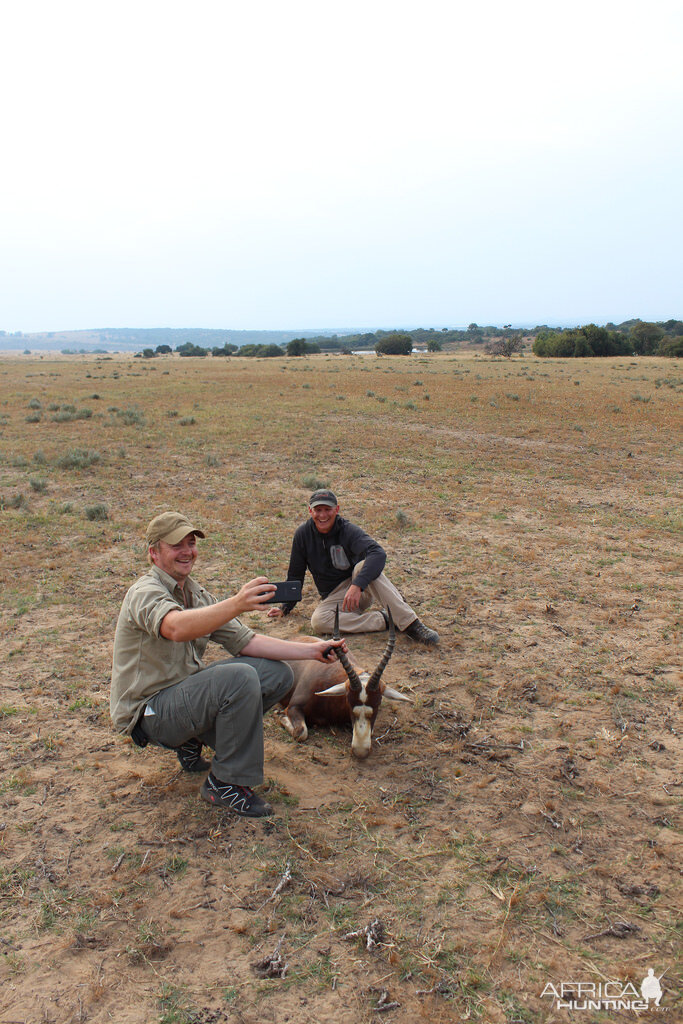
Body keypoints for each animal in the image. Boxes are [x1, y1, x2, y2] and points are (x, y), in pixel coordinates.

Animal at [278, 606, 411, 761]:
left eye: (378, 702)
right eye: (348, 700)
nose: (360, 751)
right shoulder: (293, 707)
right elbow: (301, 733)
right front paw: (281, 716)